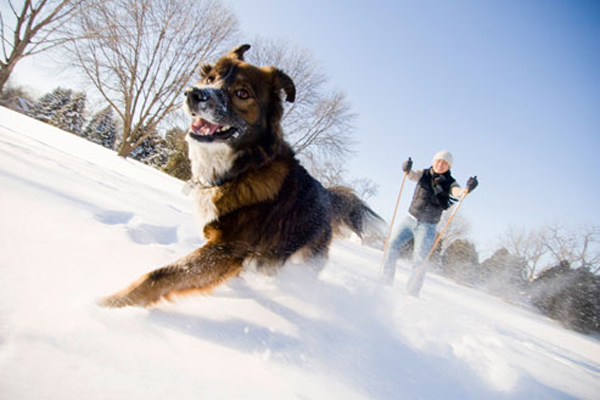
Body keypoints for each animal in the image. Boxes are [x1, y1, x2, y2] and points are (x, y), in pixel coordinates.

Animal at [99, 45, 384, 310]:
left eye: (242, 93)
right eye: (210, 78)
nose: (193, 94)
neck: (241, 169)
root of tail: (326, 194)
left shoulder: (226, 249)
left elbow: (160, 275)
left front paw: (108, 305)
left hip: (298, 258)